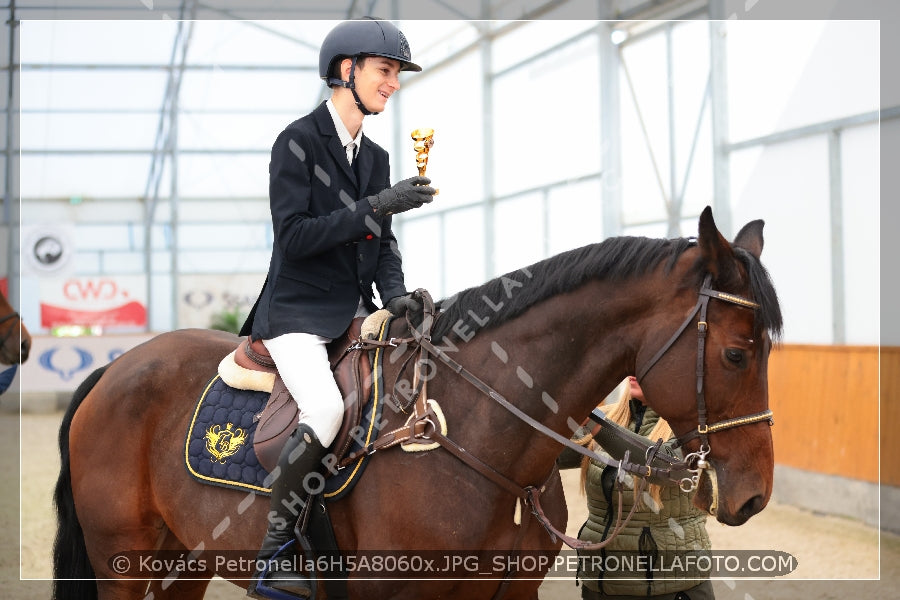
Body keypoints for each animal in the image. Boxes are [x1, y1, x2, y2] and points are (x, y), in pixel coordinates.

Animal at [54, 207, 780, 600]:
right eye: (736, 355)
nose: (753, 496)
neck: (490, 445)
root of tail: (116, 369)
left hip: (185, 560)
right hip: (124, 560)